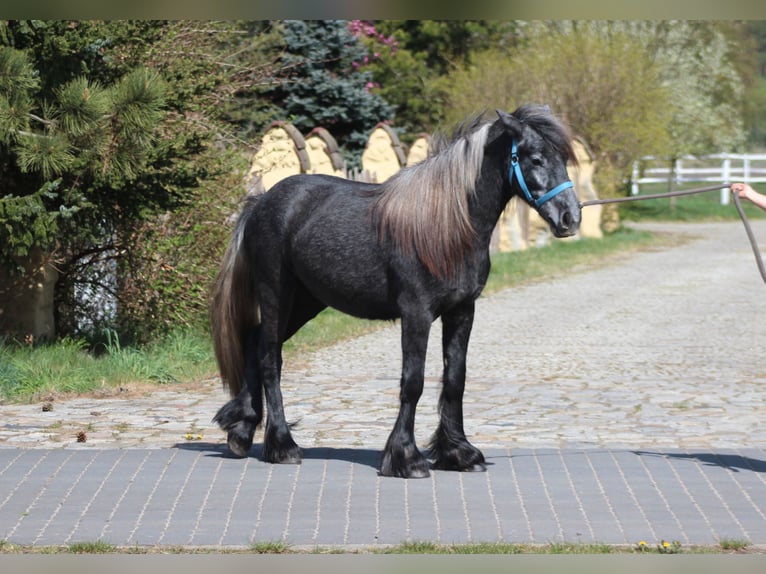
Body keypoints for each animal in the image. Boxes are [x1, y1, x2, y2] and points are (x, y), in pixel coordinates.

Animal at [211, 104, 581, 478]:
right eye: (536, 159)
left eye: (563, 158)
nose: (570, 218)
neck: (447, 226)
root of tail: (261, 202)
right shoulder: (416, 314)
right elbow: (413, 382)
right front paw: (406, 457)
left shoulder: (462, 310)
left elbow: (455, 379)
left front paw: (459, 452)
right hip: (277, 293)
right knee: (270, 357)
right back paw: (282, 445)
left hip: (306, 302)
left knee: (254, 341)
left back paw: (242, 431)